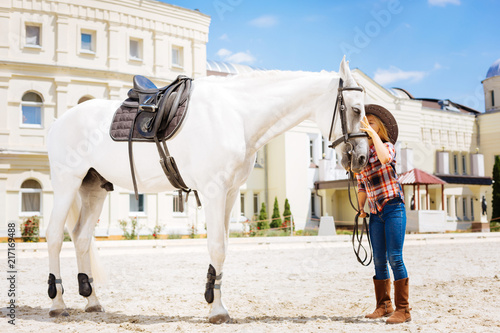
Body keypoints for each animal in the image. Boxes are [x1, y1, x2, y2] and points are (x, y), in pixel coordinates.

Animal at [46, 57, 368, 322]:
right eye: (355, 109)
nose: (363, 157)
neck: (237, 115)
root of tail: (58, 122)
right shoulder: (214, 191)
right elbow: (217, 246)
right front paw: (216, 309)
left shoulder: (230, 194)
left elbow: (224, 246)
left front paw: (217, 302)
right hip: (66, 183)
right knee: (54, 236)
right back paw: (57, 303)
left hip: (94, 188)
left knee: (81, 237)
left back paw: (92, 301)